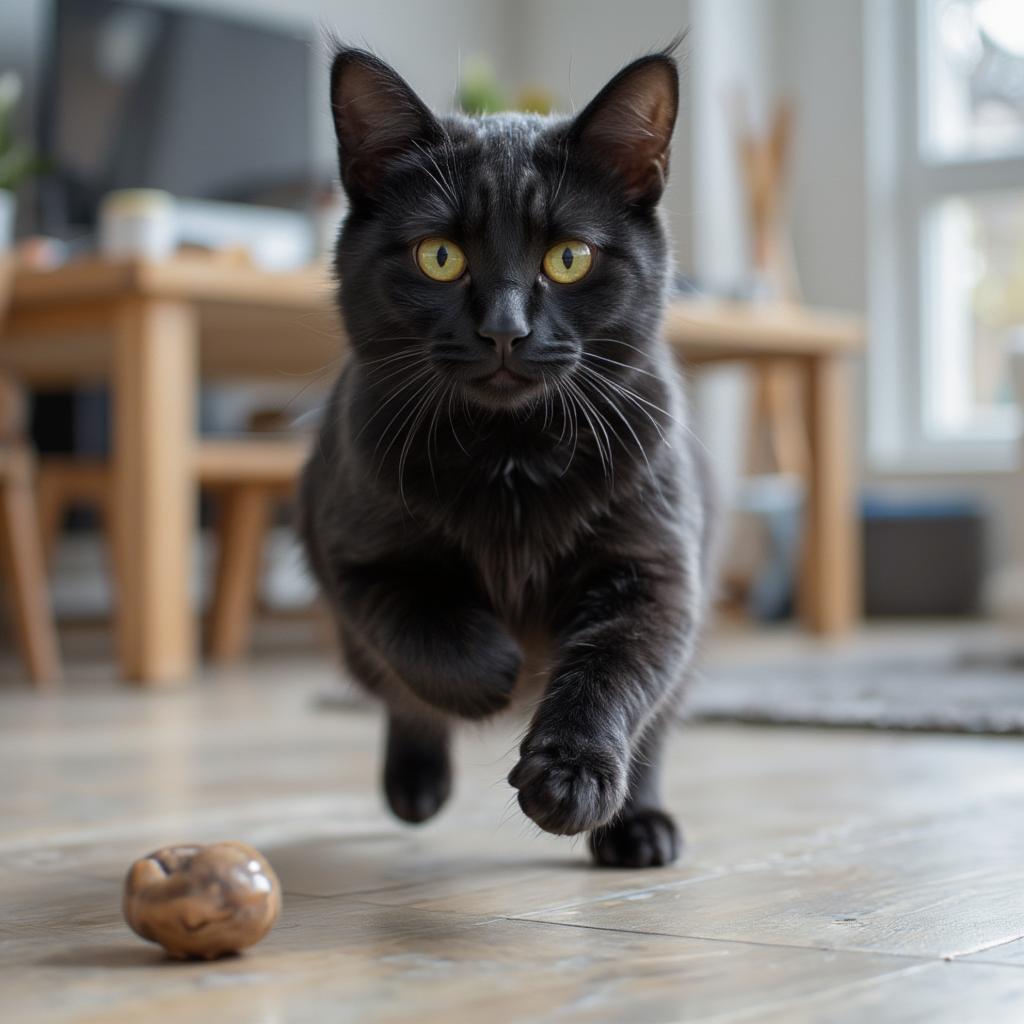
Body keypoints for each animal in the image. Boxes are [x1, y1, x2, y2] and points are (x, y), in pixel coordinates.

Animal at [299, 44, 716, 868]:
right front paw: (496, 672)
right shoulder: (355, 558)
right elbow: (421, 626)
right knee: (398, 693)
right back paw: (416, 784)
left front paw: (572, 774)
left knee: (655, 717)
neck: (511, 455)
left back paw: (638, 825)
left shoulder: (656, 574)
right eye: (439, 256)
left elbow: (611, 670)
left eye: (569, 257)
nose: (504, 328)